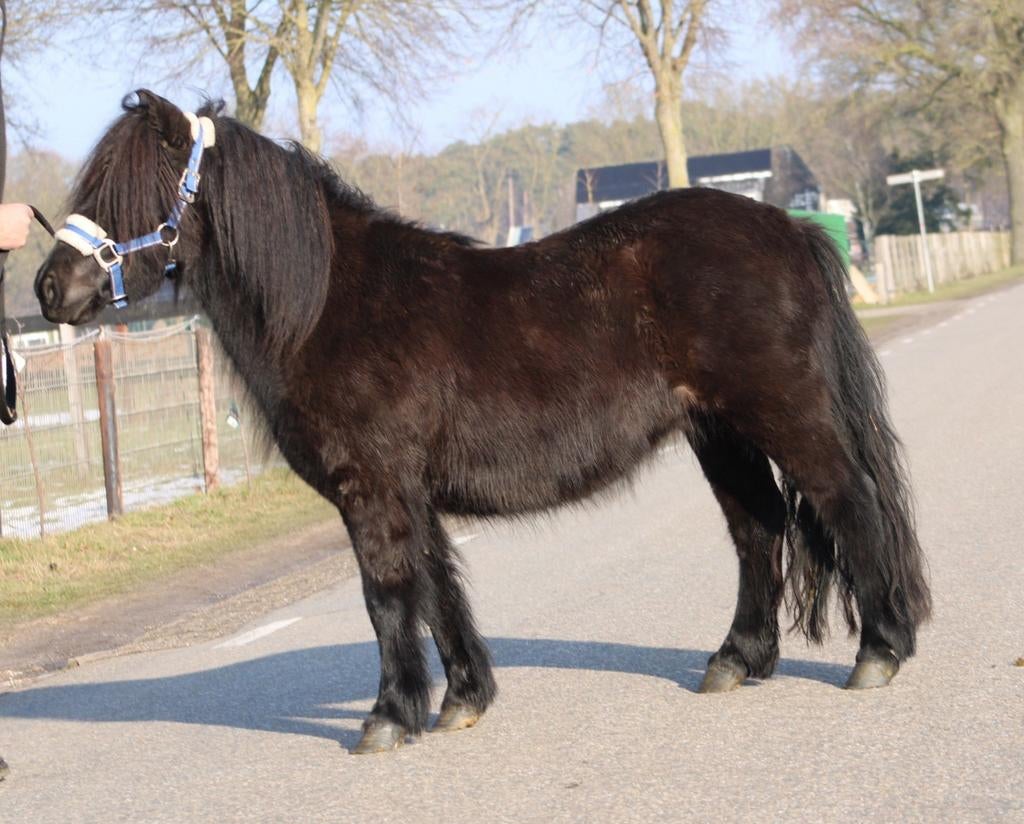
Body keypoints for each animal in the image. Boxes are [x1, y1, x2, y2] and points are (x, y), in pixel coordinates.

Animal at [35, 90, 931, 754]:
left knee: (849, 503)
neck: (329, 304)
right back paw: (737, 660)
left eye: (129, 190)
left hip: (784, 415)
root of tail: (786, 226)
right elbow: (438, 588)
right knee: (758, 529)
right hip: (722, 434)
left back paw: (879, 652)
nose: (49, 290)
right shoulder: (408, 492)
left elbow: (388, 596)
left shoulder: (373, 491)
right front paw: (462, 699)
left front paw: (388, 718)